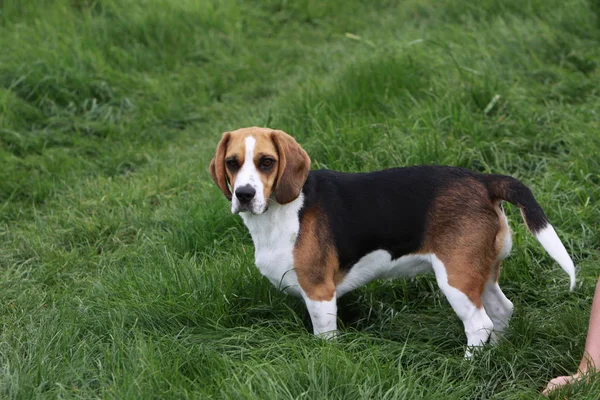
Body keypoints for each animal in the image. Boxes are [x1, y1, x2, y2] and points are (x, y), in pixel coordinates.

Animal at [209, 126, 576, 356]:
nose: (244, 195)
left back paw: (468, 367)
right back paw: (494, 356)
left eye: (267, 162)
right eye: (232, 163)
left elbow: (325, 339)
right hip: (479, 272)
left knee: (479, 325)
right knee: (501, 311)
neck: (280, 211)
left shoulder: (319, 293)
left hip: (455, 278)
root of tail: (482, 181)